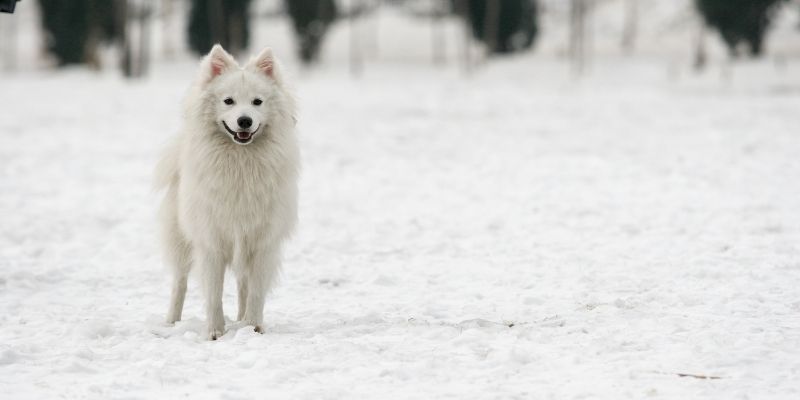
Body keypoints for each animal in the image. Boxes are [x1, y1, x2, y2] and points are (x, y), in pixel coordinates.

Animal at [154, 44, 296, 340]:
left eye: (257, 102)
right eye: (228, 101)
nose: (244, 121)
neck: (240, 163)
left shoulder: (262, 241)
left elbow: (256, 292)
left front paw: (253, 327)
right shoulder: (210, 240)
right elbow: (213, 293)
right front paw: (215, 332)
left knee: (243, 285)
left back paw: (242, 320)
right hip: (180, 238)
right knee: (179, 282)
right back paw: (172, 322)